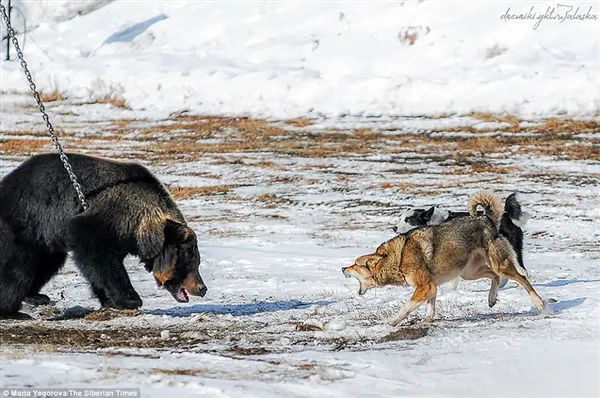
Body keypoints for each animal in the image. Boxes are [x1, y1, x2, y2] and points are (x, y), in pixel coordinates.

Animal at [0, 152, 207, 318]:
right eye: (188, 263)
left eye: (196, 262)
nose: (202, 288)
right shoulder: (107, 217)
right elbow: (97, 256)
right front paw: (131, 299)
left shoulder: (122, 237)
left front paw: (109, 299)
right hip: (22, 224)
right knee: (18, 268)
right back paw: (12, 311)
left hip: (44, 238)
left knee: (47, 263)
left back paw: (36, 295)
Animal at [394, 193, 528, 290]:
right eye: (400, 218)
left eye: (408, 220)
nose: (394, 227)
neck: (433, 222)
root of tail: (506, 214)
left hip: (511, 250)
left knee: (522, 270)